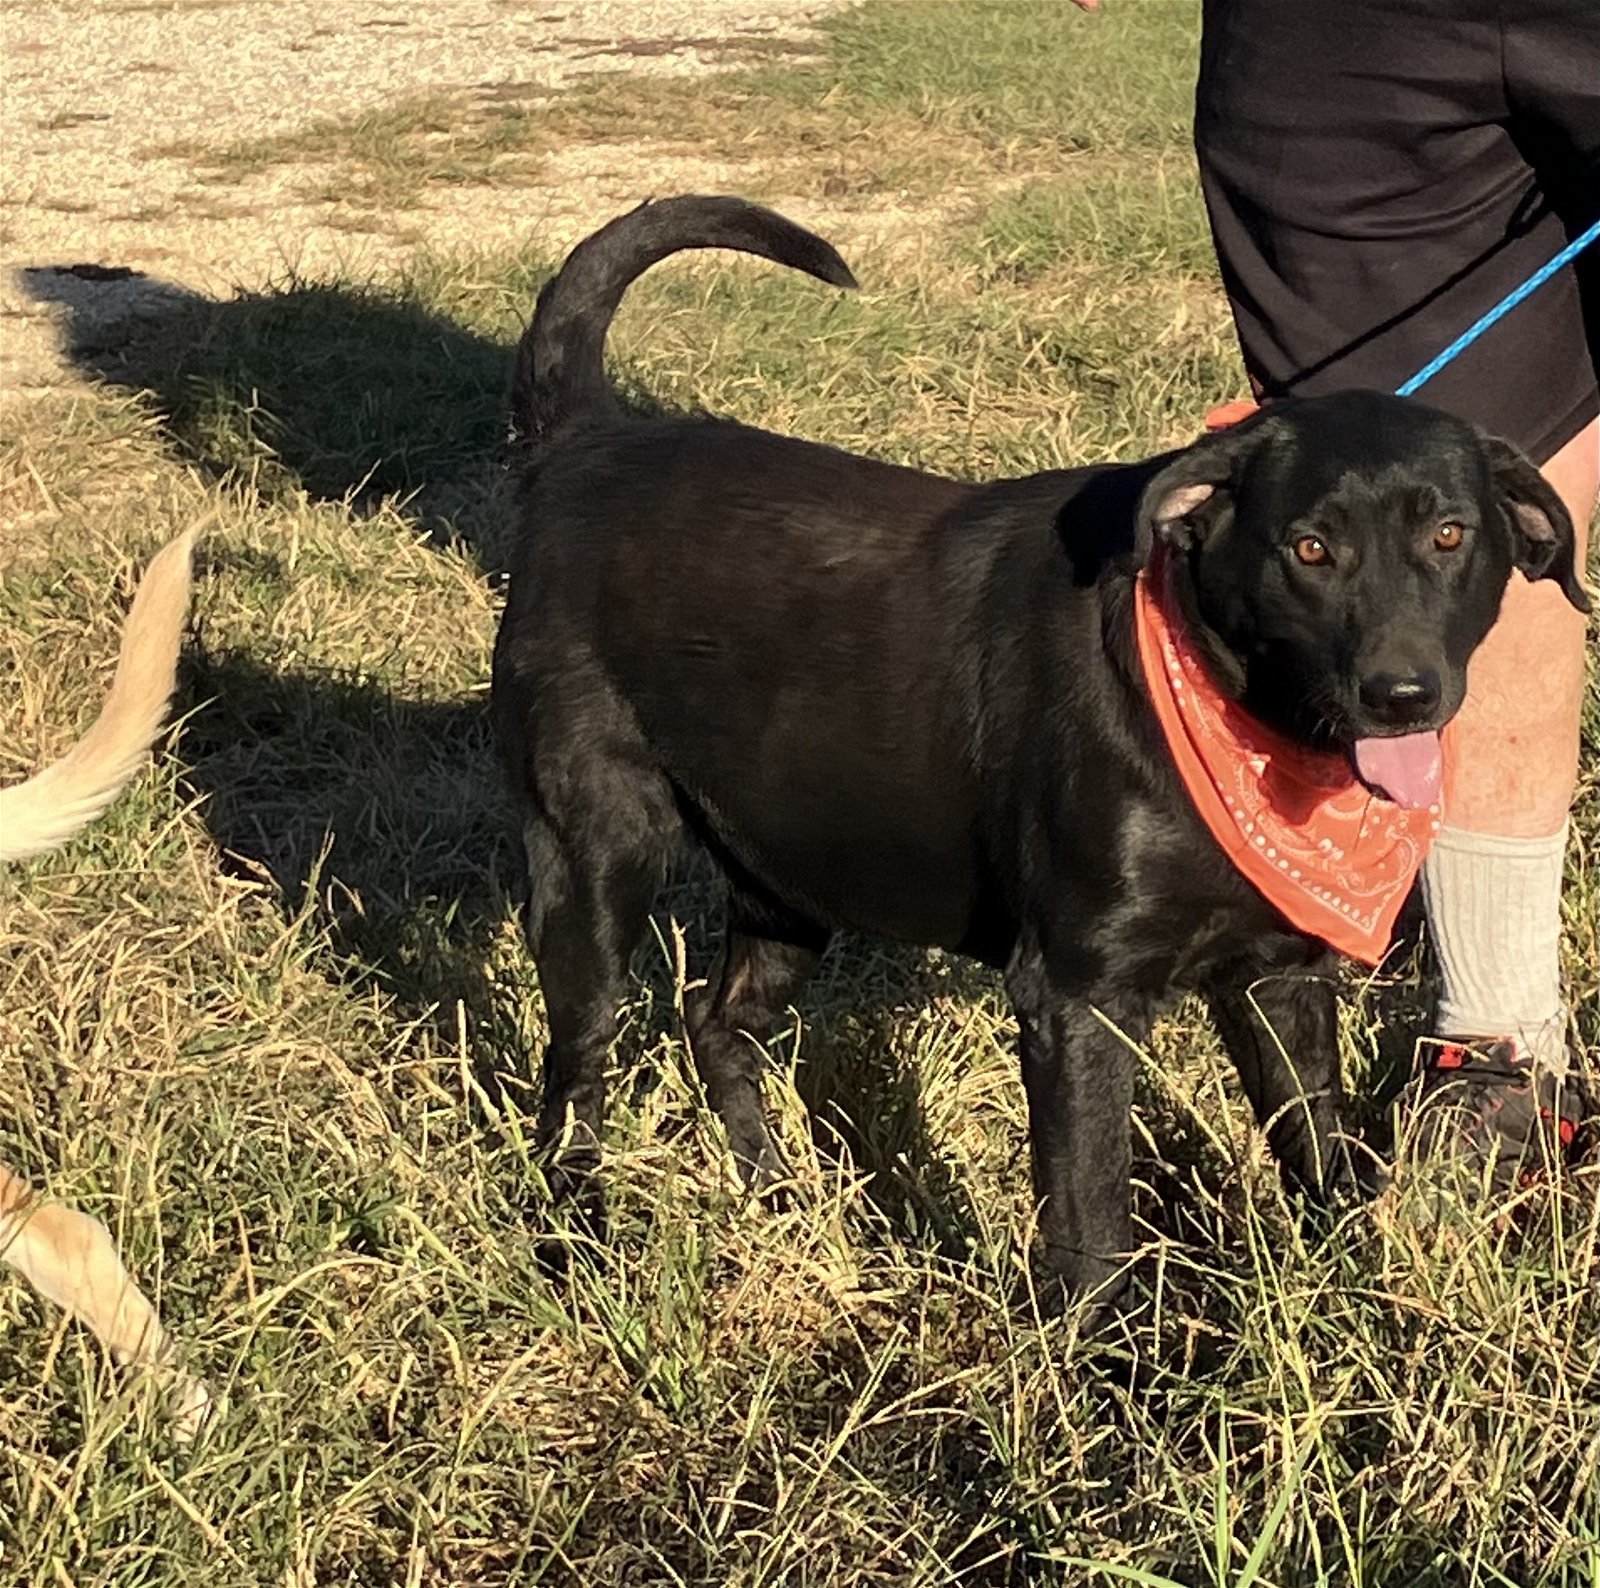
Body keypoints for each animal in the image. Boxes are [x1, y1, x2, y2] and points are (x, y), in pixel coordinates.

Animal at [492, 195, 1593, 1299]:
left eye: (1449, 535)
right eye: (1309, 548)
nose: (1401, 695)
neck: (1213, 694)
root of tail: (585, 440)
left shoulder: (1275, 975)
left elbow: (1314, 1145)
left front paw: (1354, 1292)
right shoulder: (1076, 995)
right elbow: (1093, 1217)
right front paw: (1103, 1347)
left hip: (792, 870)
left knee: (716, 1025)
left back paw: (780, 1198)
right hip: (596, 860)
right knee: (574, 1074)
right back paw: (576, 1241)